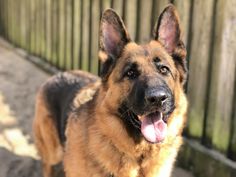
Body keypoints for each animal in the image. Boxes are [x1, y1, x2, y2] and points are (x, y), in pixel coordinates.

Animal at [33, 4, 188, 177]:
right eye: (130, 73)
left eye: (164, 69)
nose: (157, 98)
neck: (139, 158)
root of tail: (58, 75)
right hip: (53, 153)